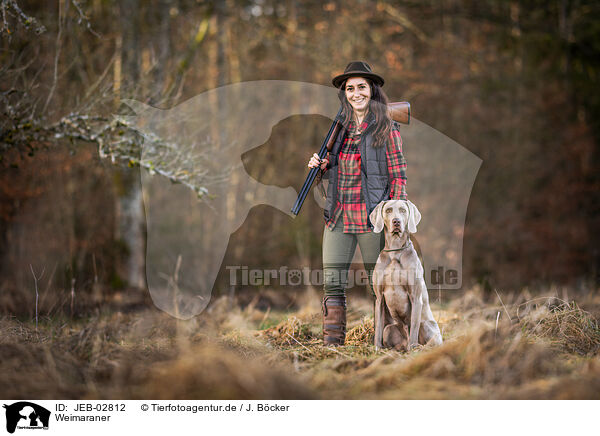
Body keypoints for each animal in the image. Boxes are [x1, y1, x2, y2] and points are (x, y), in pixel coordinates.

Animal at [368, 200, 442, 350]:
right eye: (388, 210)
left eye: (403, 210)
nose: (396, 221)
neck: (395, 250)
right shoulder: (379, 298)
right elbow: (378, 326)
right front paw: (377, 348)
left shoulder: (416, 297)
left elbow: (413, 326)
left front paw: (413, 349)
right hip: (389, 328)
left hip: (427, 325)